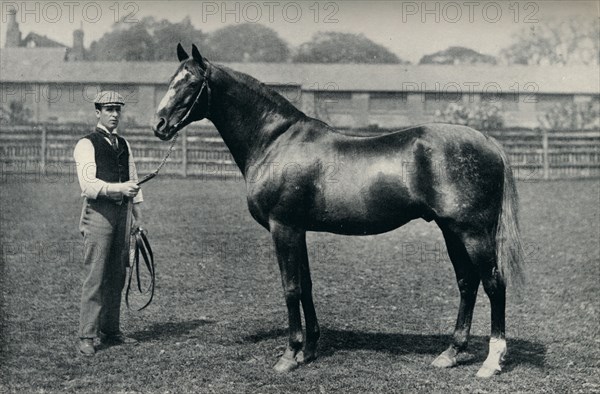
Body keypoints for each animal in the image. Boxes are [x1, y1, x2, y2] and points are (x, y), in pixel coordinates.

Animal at [151, 43, 524, 378]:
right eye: (170, 79)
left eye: (190, 83)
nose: (160, 124)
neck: (275, 142)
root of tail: (489, 142)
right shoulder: (297, 229)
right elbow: (306, 285)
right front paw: (309, 349)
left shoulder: (283, 227)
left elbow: (290, 287)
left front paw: (289, 355)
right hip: (451, 231)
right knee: (467, 282)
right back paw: (450, 353)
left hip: (472, 232)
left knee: (493, 284)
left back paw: (491, 362)